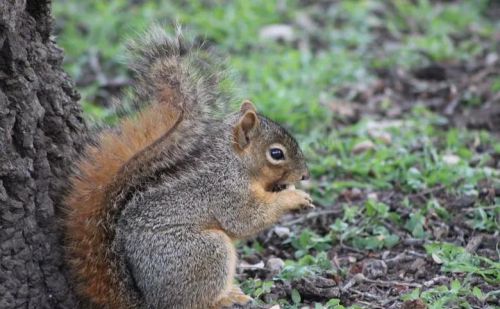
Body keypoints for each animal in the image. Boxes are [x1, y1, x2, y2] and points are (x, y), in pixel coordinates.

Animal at [63, 25, 312, 308]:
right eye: (276, 153)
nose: (305, 175)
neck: (235, 163)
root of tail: (150, 301)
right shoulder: (226, 192)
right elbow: (246, 219)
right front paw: (293, 197)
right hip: (206, 251)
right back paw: (224, 299)